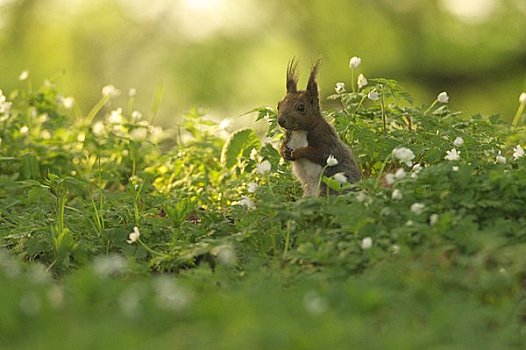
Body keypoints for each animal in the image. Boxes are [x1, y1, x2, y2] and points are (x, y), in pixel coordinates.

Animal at [276, 59, 364, 197]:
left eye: (301, 107)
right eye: (278, 105)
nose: (281, 121)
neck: (300, 131)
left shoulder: (325, 138)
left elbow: (321, 153)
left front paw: (298, 152)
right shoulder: (289, 136)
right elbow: (283, 146)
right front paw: (284, 151)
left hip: (330, 181)